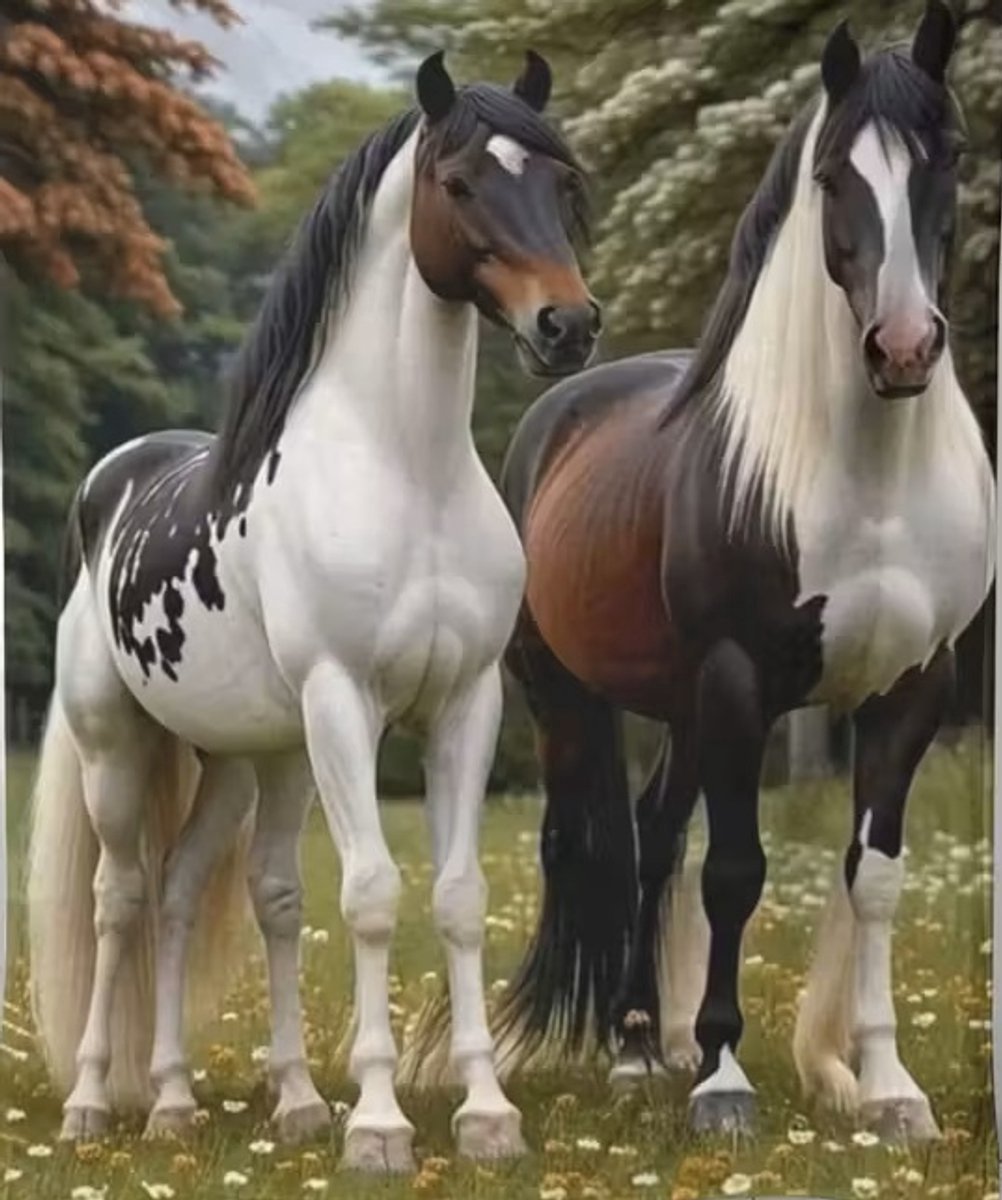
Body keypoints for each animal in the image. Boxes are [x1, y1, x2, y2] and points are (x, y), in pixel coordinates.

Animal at [26, 50, 599, 1170]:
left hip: (250, 761)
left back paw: (198, 1101)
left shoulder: (466, 707)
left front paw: (485, 1113)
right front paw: (377, 1125)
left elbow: (456, 899)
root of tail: (106, 488)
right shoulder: (344, 702)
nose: (568, 324)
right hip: (120, 750)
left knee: (204, 893)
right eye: (459, 183)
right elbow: (372, 895)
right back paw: (92, 1102)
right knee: (119, 903)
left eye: (560, 184)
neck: (407, 467)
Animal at [491, 1, 995, 1140]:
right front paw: (724, 1081)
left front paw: (888, 1088)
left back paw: (644, 1044)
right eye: (835, 177)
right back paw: (635, 1052)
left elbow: (874, 880)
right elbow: (734, 873)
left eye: (950, 156)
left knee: (652, 833)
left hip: (681, 710)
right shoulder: (738, 681)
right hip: (569, 697)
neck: (864, 476)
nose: (903, 348)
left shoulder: (913, 689)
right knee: (595, 845)